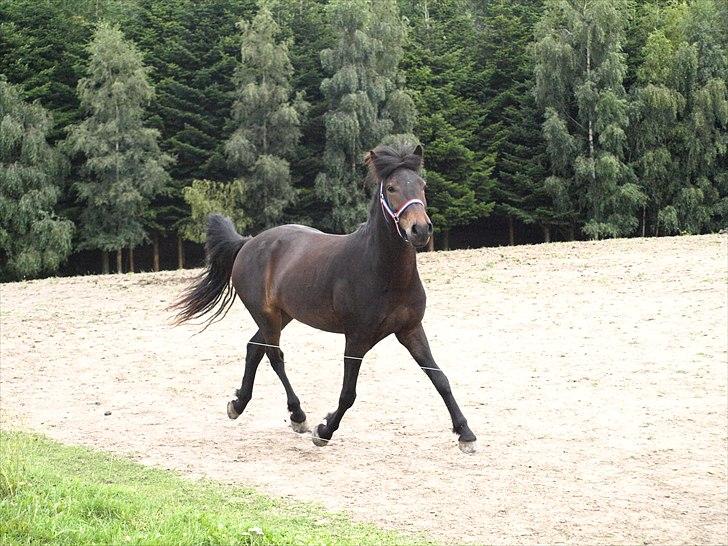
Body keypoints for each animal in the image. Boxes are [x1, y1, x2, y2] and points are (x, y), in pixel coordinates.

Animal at [171, 140, 478, 450]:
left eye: (422, 185)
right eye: (391, 188)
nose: (420, 229)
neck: (385, 272)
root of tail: (248, 243)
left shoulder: (410, 329)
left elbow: (440, 378)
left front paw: (465, 433)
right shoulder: (356, 338)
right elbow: (348, 394)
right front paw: (324, 430)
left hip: (283, 315)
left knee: (254, 348)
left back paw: (238, 404)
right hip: (266, 315)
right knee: (274, 357)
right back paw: (298, 416)